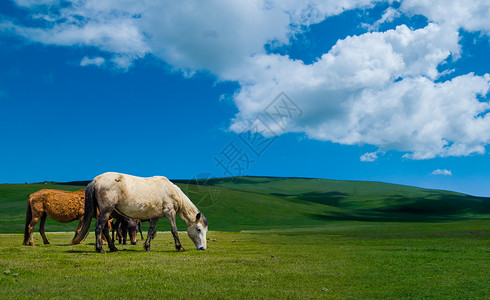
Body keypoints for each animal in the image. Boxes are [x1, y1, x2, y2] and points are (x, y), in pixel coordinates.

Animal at [72, 171, 209, 253]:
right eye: (198, 229)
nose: (203, 248)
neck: (170, 190)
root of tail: (95, 180)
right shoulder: (170, 213)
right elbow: (174, 230)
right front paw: (179, 247)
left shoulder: (155, 217)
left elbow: (150, 231)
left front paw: (147, 246)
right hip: (106, 210)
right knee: (99, 227)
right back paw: (100, 249)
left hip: (107, 212)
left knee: (105, 229)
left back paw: (113, 248)